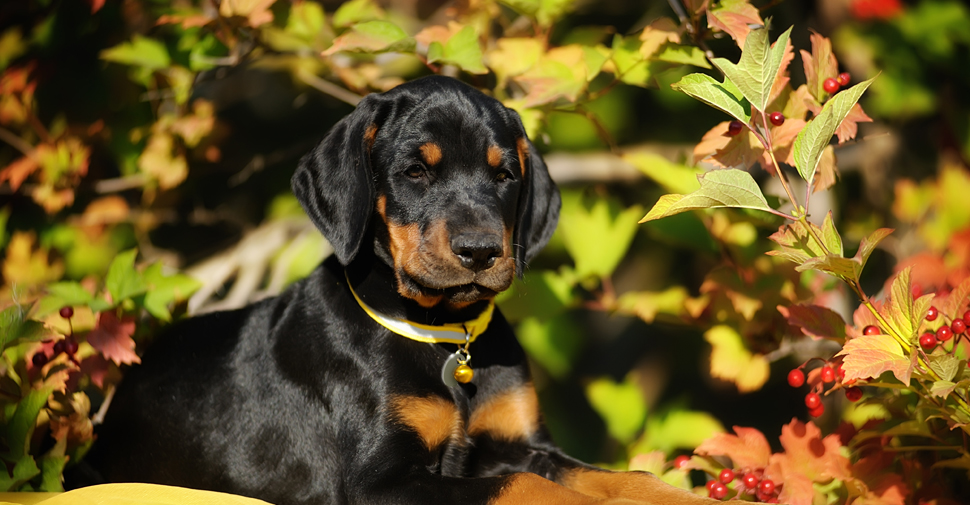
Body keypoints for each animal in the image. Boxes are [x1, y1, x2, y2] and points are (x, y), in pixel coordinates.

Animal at [83, 76, 728, 504]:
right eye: (416, 172)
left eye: (504, 174)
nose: (479, 251)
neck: (444, 336)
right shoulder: (382, 481)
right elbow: (521, 486)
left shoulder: (518, 441)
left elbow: (616, 475)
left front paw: (678, 497)